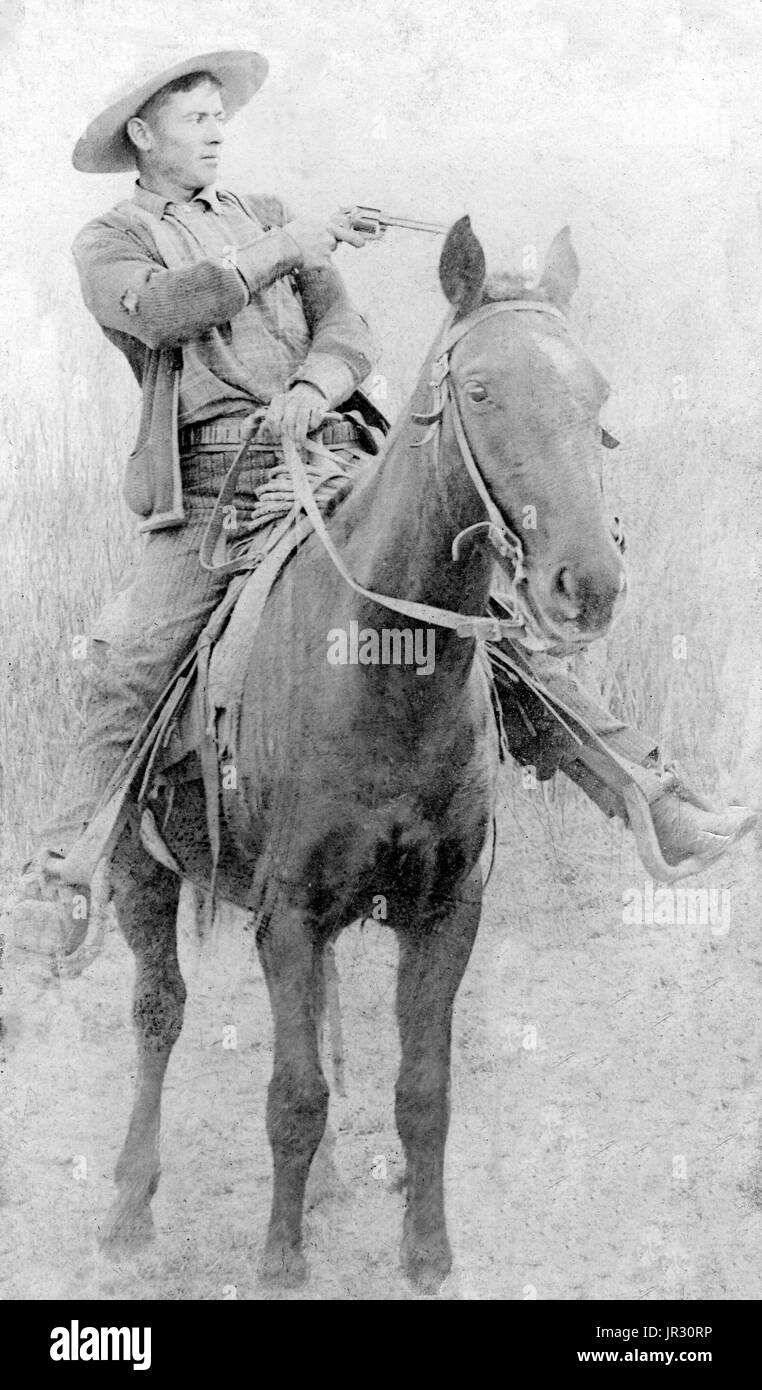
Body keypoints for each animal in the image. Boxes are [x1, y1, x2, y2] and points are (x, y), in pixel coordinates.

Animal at [93, 214, 625, 1289]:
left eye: (593, 394)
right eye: (479, 389)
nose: (587, 584)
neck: (383, 673)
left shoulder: (445, 911)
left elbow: (422, 1090)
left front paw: (427, 1252)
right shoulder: (287, 913)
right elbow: (291, 1097)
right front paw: (279, 1260)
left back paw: (330, 1182)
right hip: (140, 869)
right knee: (159, 1014)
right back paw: (130, 1204)